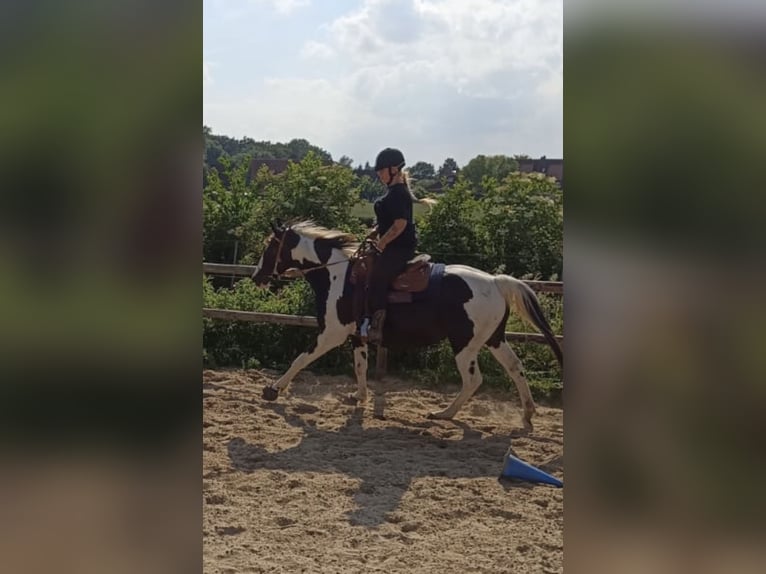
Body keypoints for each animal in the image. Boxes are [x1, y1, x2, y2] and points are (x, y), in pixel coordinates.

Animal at [250, 220, 563, 432]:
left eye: (270, 246)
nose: (256, 277)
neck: (338, 276)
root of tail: (496, 282)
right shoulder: (357, 335)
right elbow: (360, 366)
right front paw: (359, 396)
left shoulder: (331, 334)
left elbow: (300, 359)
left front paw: (273, 389)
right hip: (494, 339)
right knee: (515, 368)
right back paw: (527, 414)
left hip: (465, 345)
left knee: (474, 380)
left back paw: (444, 414)